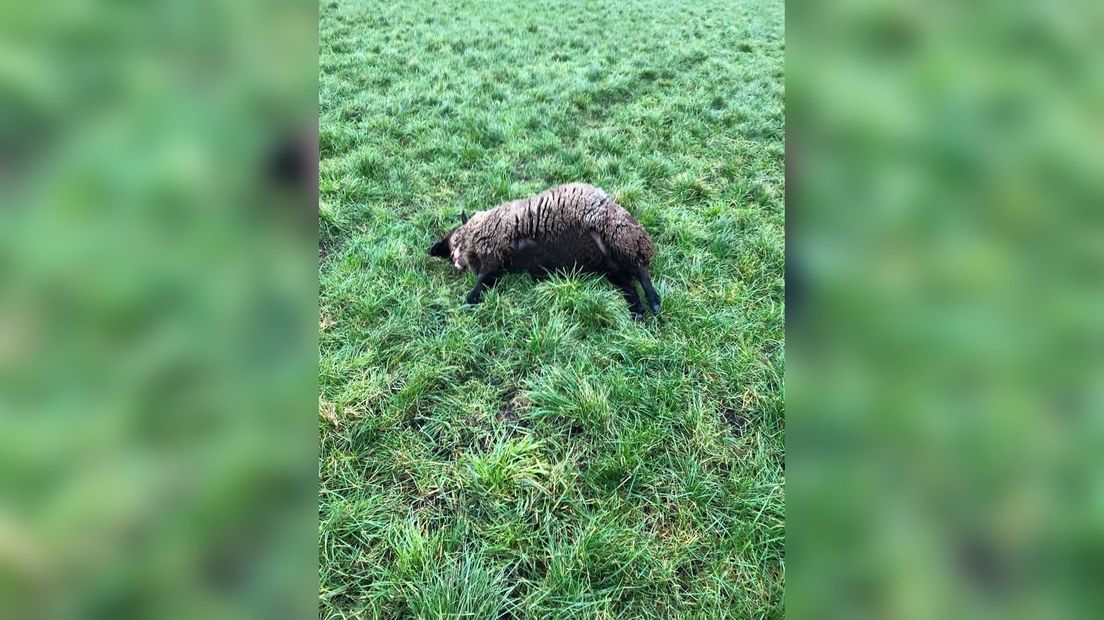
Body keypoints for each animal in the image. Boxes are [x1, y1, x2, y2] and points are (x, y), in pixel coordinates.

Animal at [426, 180, 657, 317]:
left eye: (456, 238)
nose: (456, 261)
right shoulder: (498, 265)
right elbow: (485, 279)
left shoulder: (495, 251)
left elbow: (481, 278)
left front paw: (469, 300)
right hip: (609, 265)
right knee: (628, 283)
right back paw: (637, 310)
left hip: (619, 238)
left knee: (640, 272)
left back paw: (654, 303)